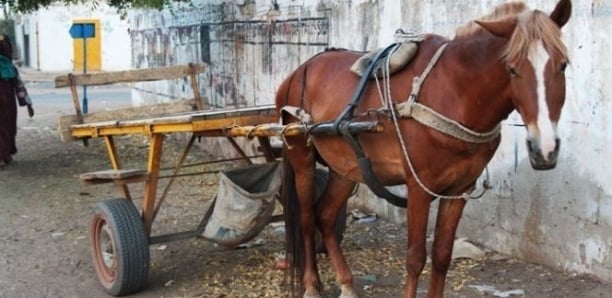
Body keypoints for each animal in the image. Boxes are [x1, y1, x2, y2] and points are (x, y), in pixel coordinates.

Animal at [278, 1, 572, 296]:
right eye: (512, 69)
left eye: (562, 66)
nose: (545, 148)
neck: (456, 91)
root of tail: (297, 72)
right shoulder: (419, 187)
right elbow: (415, 258)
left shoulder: (459, 190)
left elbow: (442, 255)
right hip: (301, 157)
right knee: (306, 217)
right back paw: (311, 284)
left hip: (345, 167)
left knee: (325, 216)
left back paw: (346, 283)